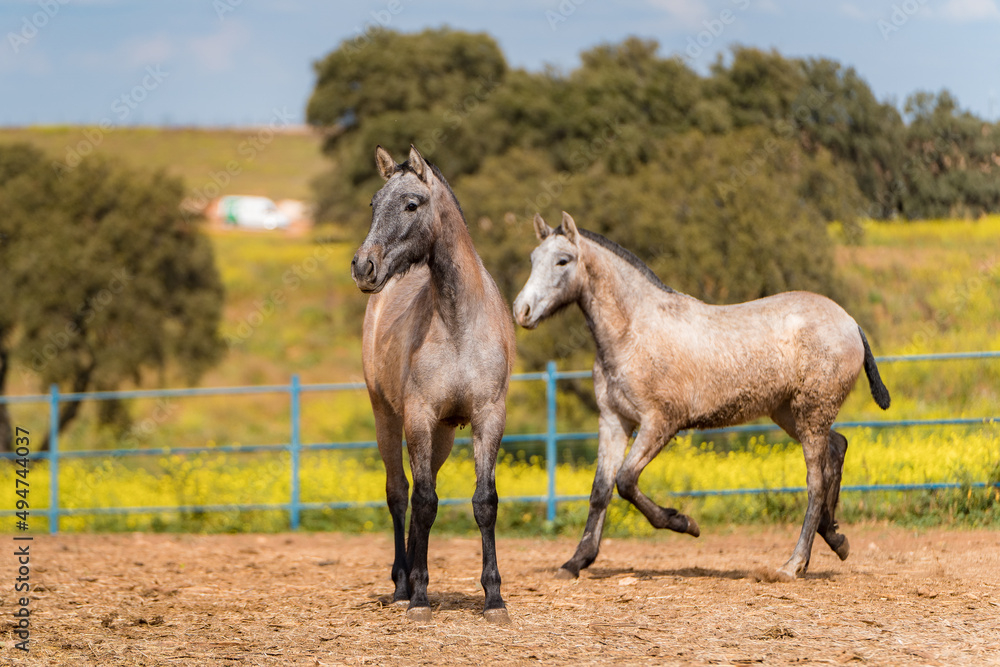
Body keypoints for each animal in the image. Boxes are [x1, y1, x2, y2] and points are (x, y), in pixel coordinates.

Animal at [351, 145, 516, 623]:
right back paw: (403, 584)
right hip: (388, 419)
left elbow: (484, 502)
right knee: (400, 493)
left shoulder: (487, 417)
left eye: (411, 204)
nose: (363, 266)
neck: (459, 323)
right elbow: (423, 502)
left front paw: (494, 598)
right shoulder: (419, 417)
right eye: (373, 203)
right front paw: (420, 596)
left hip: (442, 436)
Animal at [512, 211, 890, 581]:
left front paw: (685, 523)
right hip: (789, 413)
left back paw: (793, 565)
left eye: (563, 260)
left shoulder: (660, 422)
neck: (633, 332)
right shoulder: (614, 421)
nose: (521, 311)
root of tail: (850, 322)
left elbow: (625, 481)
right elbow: (600, 490)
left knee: (816, 480)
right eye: (532, 258)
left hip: (811, 413)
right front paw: (575, 562)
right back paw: (836, 538)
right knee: (837, 448)